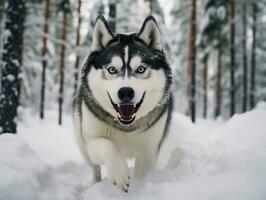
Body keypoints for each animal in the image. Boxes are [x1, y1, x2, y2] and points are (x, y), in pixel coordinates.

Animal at [72, 15, 172, 192]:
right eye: (112, 69)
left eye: (141, 69)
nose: (125, 92)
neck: (126, 127)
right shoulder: (91, 141)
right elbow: (107, 145)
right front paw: (119, 172)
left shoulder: (148, 152)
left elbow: (142, 174)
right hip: (83, 145)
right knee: (95, 168)